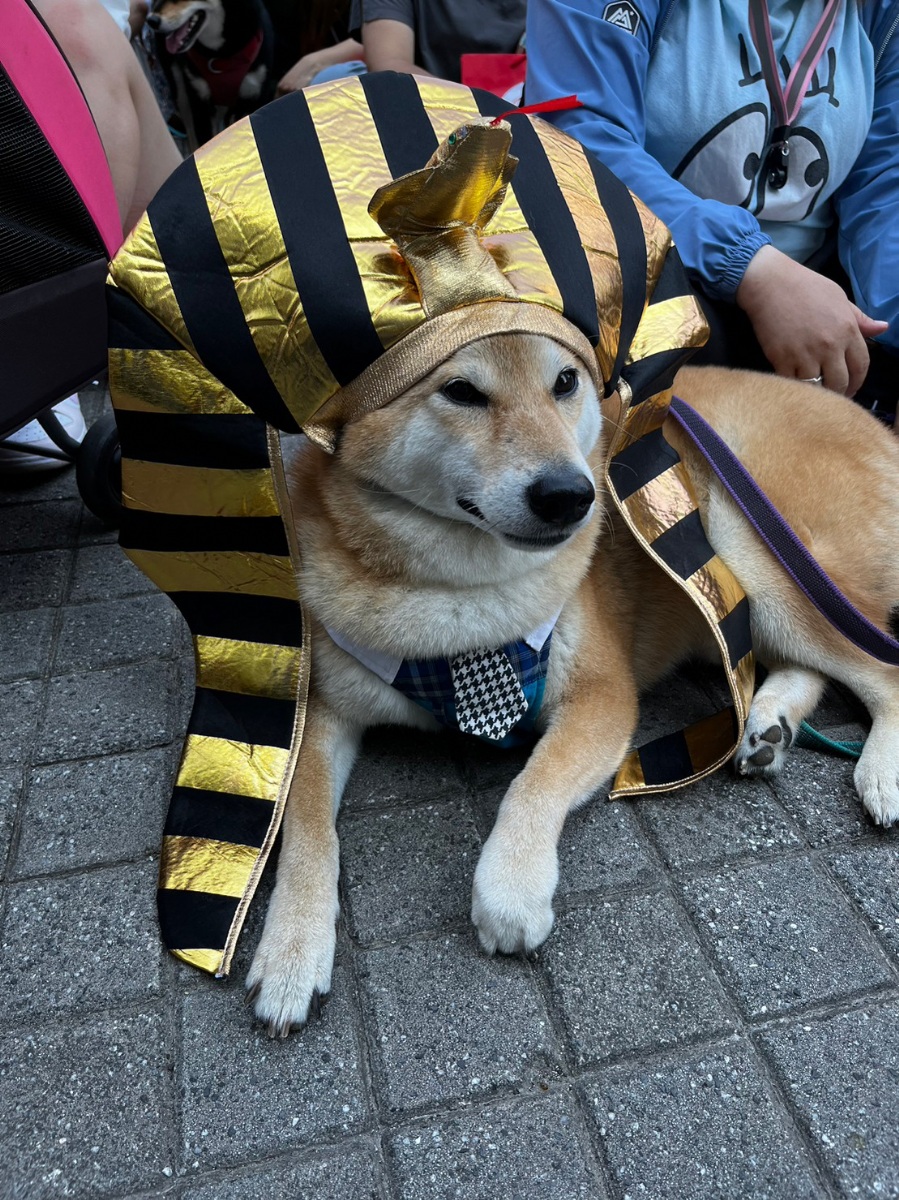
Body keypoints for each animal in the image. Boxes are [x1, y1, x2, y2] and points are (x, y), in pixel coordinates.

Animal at [244, 334, 899, 1037]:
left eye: (565, 381)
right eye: (461, 391)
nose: (570, 494)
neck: (452, 619)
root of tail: (874, 423)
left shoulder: (601, 693)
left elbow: (533, 781)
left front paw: (510, 890)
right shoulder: (323, 706)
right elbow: (307, 827)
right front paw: (291, 951)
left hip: (747, 545)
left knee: (882, 671)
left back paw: (879, 771)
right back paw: (768, 726)